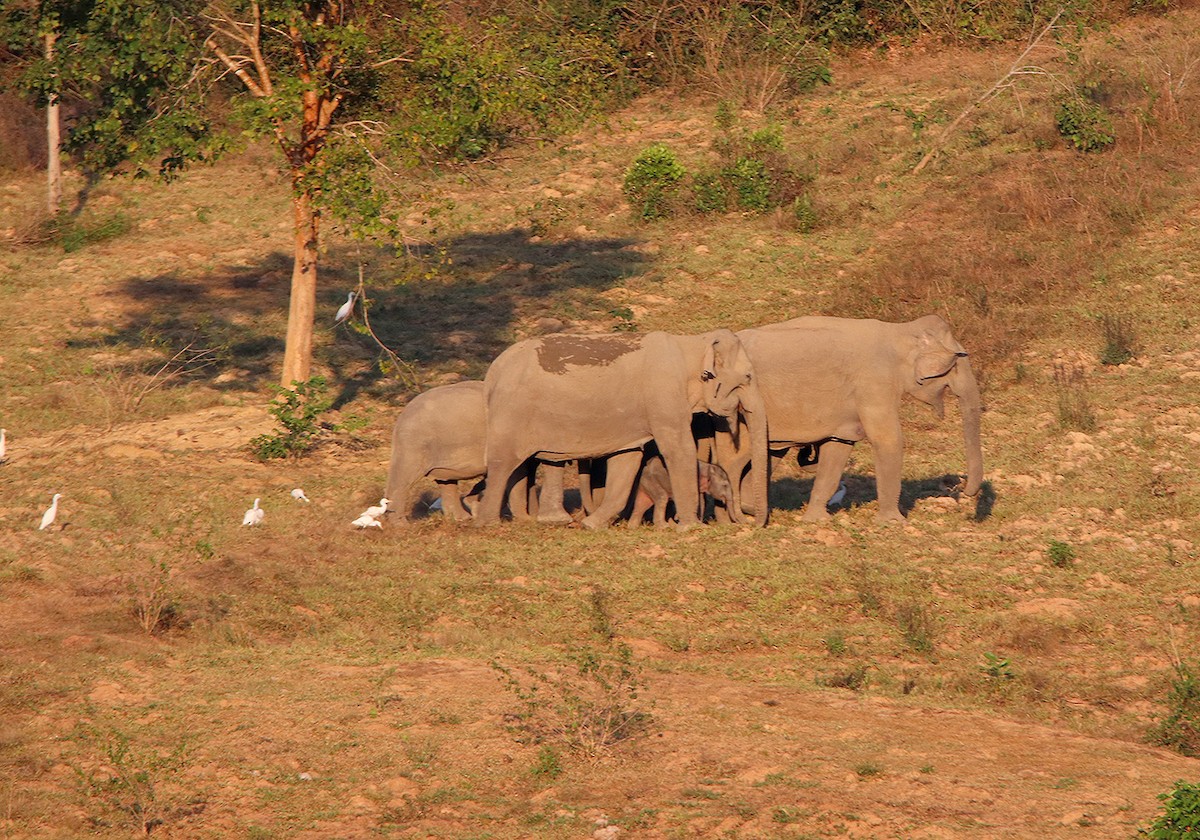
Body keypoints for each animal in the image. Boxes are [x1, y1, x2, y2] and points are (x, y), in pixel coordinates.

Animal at [472, 331, 763, 528]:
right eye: (748, 377)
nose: (752, 522)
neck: (692, 342)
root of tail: (493, 371)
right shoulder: (664, 397)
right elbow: (679, 449)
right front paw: (691, 527)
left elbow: (629, 458)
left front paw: (592, 525)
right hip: (512, 411)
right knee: (503, 463)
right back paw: (488, 524)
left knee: (519, 466)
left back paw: (527, 520)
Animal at [720, 314, 984, 520]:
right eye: (956, 363)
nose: (963, 489)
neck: (898, 330)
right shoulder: (874, 382)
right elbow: (888, 439)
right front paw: (894, 522)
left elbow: (839, 446)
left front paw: (817, 520)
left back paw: (751, 509)